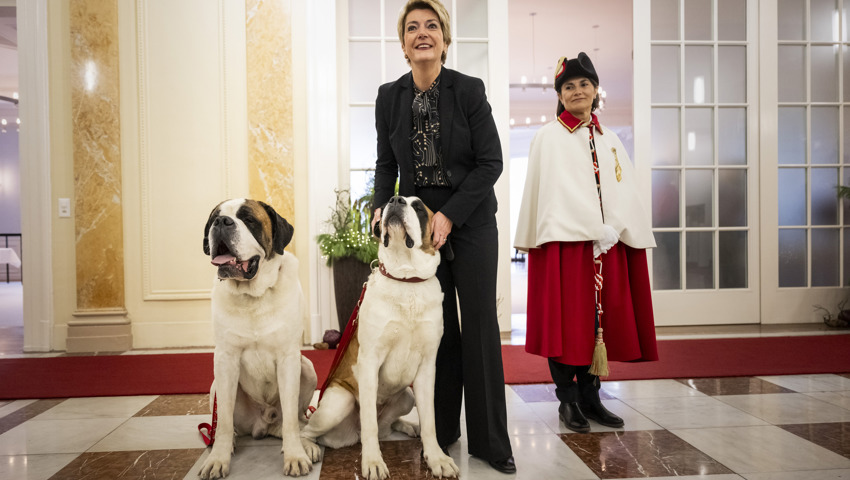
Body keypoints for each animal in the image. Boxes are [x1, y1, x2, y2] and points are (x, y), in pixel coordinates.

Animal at [199, 199, 318, 480]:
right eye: (214, 218)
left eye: (249, 220)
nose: (222, 222)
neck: (253, 295)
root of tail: (264, 421)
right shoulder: (225, 360)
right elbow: (223, 421)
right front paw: (218, 459)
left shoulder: (289, 360)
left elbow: (291, 419)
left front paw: (295, 455)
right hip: (215, 386)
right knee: (225, 424)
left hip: (307, 368)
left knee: (293, 420)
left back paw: (305, 443)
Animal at [298, 195, 458, 480]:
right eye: (385, 205)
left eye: (419, 207)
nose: (395, 199)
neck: (406, 279)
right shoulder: (370, 363)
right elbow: (370, 424)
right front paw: (372, 462)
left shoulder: (427, 367)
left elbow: (430, 421)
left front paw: (437, 457)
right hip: (338, 403)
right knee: (311, 431)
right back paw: (310, 449)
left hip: (408, 395)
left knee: (386, 427)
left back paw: (407, 426)